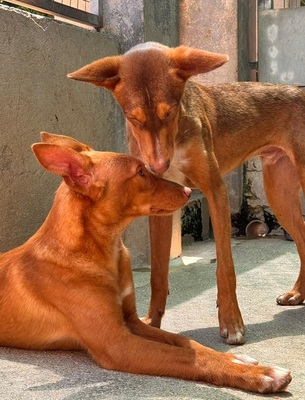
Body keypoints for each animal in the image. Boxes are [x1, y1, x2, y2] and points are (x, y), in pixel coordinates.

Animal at [0, 133, 290, 392]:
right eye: (140, 172)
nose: (188, 191)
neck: (101, 250)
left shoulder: (132, 321)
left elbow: (185, 341)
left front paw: (237, 359)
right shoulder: (116, 343)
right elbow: (187, 356)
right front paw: (261, 374)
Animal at [69, 42, 305, 346]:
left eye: (169, 113)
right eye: (133, 118)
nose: (158, 167)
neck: (178, 133)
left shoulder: (216, 192)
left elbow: (225, 268)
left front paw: (232, 323)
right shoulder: (159, 206)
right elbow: (158, 274)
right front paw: (152, 323)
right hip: (279, 194)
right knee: (303, 238)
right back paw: (297, 293)